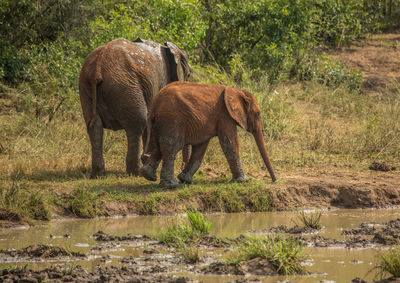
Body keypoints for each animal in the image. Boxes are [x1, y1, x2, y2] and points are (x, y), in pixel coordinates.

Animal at [79, 38, 191, 179]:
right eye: (189, 74)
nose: (181, 170)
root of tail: (97, 68)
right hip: (125, 87)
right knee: (137, 124)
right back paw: (136, 172)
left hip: (86, 86)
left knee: (94, 127)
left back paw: (98, 174)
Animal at [140, 81, 276, 189]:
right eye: (258, 114)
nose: (274, 180)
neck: (237, 91)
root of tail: (155, 105)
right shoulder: (225, 115)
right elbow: (229, 143)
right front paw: (243, 181)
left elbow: (200, 147)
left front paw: (185, 180)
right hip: (172, 121)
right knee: (171, 148)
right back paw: (171, 185)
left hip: (161, 123)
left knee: (159, 147)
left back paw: (148, 176)